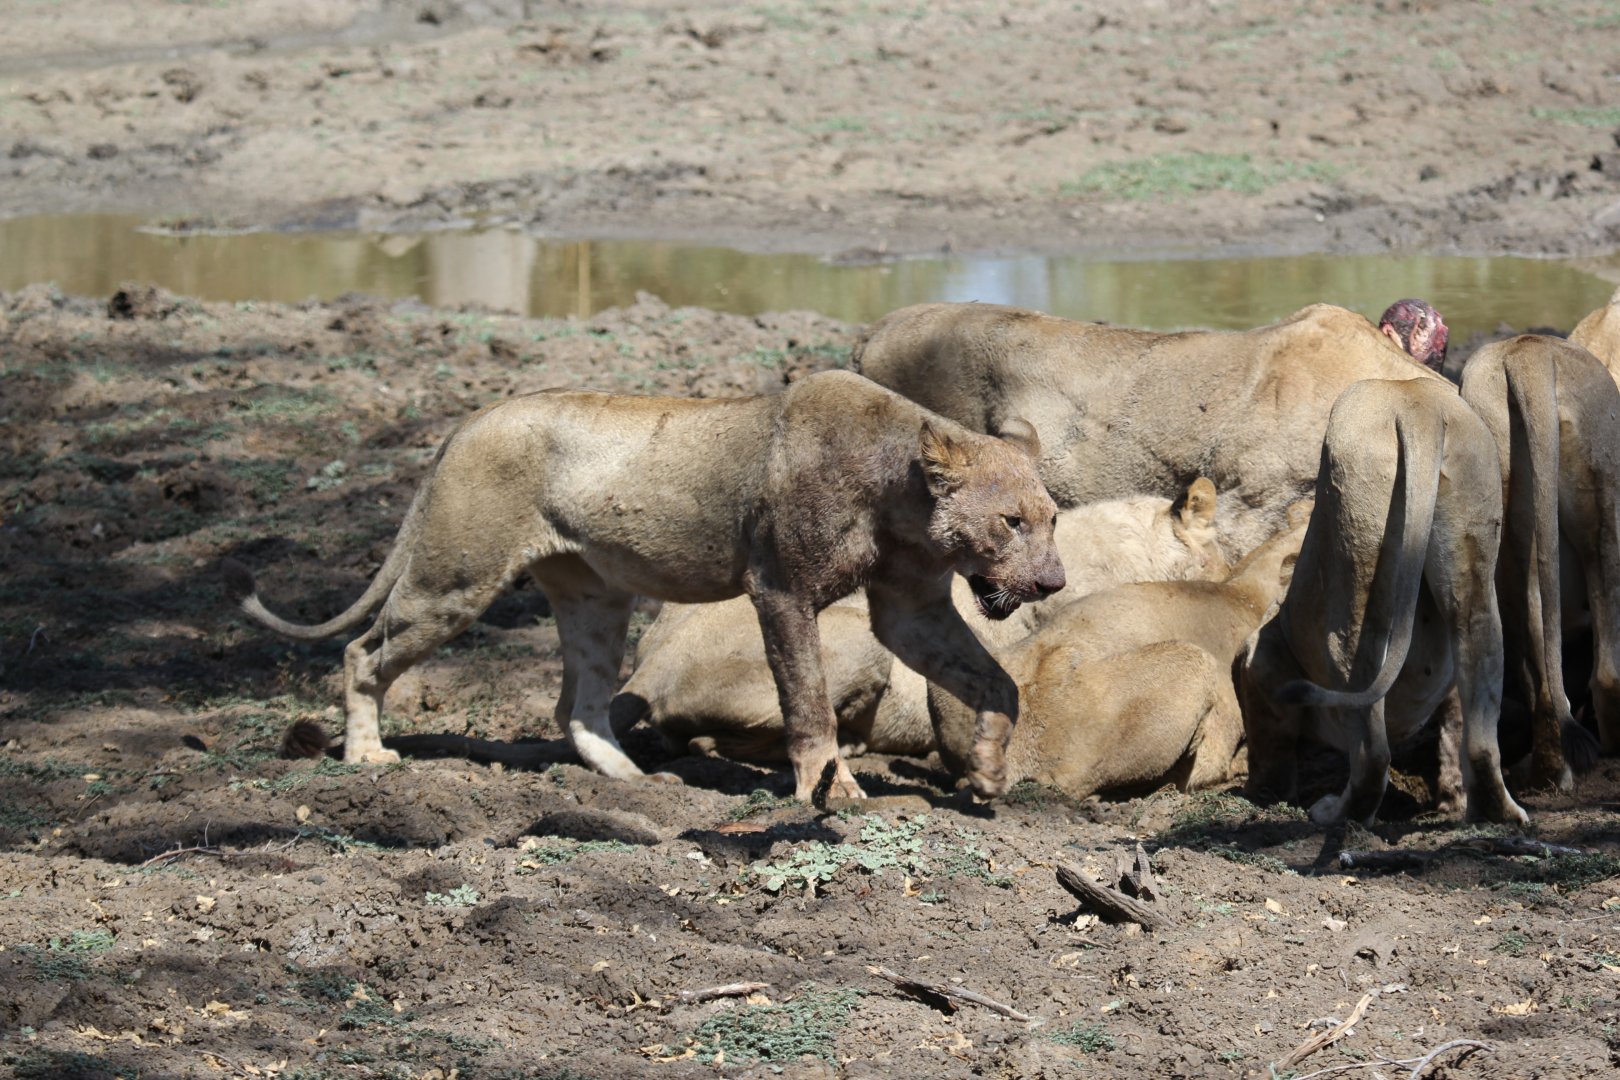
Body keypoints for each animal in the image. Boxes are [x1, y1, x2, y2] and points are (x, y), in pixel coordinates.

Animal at [223, 369, 1065, 803]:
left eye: (1052, 519)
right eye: (1011, 521)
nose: (1054, 581)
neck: (902, 499)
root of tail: (471, 419)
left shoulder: (909, 607)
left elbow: (993, 681)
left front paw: (989, 768)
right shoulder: (781, 591)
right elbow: (808, 702)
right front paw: (831, 791)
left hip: (594, 597)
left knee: (577, 705)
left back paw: (635, 781)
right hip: (454, 577)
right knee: (363, 654)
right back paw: (367, 756)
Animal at [1240, 377, 1526, 826]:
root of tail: (1415, 405)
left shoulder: (1261, 669)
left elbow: (1271, 743)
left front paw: (1263, 792)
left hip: (1356, 557)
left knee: (1372, 753)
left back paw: (1337, 814)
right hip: (1473, 538)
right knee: (1480, 718)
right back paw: (1492, 811)